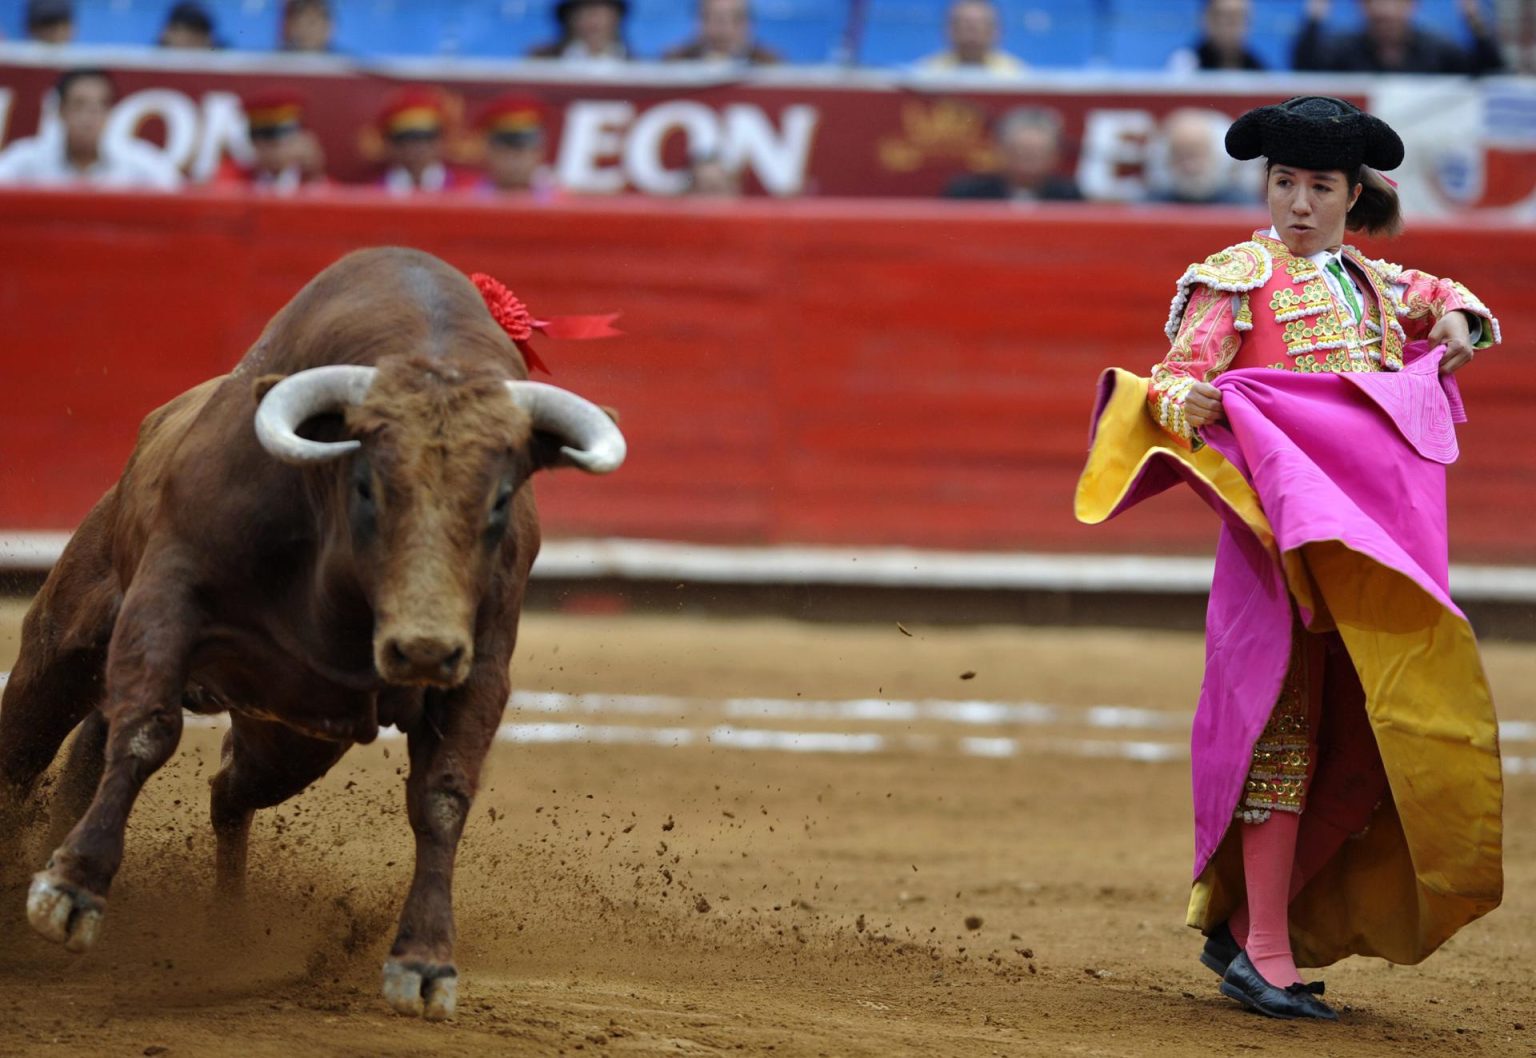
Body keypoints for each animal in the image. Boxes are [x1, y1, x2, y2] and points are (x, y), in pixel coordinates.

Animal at [0, 245, 626, 1013]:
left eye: (501, 498)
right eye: (366, 486)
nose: (423, 649)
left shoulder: (479, 668)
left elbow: (443, 796)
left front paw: (424, 960)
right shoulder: (167, 597)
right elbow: (146, 729)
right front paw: (71, 889)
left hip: (292, 736)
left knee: (227, 789)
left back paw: (226, 933)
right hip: (65, 644)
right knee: (26, 746)